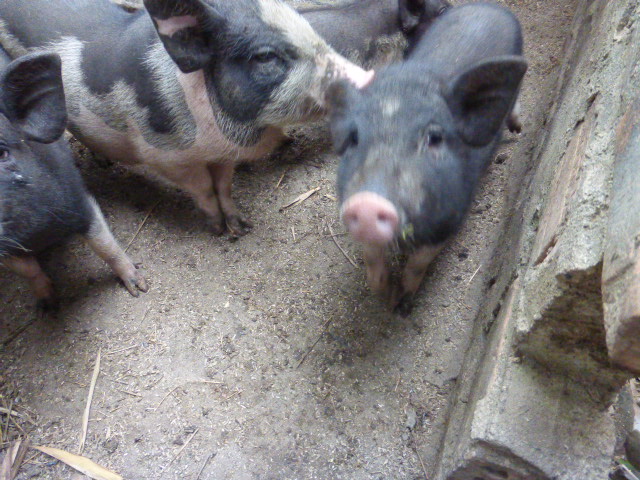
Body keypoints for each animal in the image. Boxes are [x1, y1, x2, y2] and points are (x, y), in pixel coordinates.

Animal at [0, 0, 374, 237]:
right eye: (265, 56)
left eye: (312, 32)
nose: (368, 78)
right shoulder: (166, 156)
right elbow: (203, 189)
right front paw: (219, 230)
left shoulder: (224, 155)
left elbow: (223, 186)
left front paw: (241, 227)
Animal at [0, 49, 147, 310]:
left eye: (1, 152)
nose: (141, 287)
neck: (36, 235)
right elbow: (26, 268)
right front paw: (48, 305)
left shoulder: (76, 198)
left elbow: (104, 244)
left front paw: (139, 286)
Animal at [327, 3, 527, 314]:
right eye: (354, 137)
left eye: (434, 138)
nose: (367, 203)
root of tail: (487, 5)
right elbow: (373, 262)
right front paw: (385, 295)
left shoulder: (450, 218)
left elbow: (418, 264)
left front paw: (404, 301)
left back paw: (518, 128)